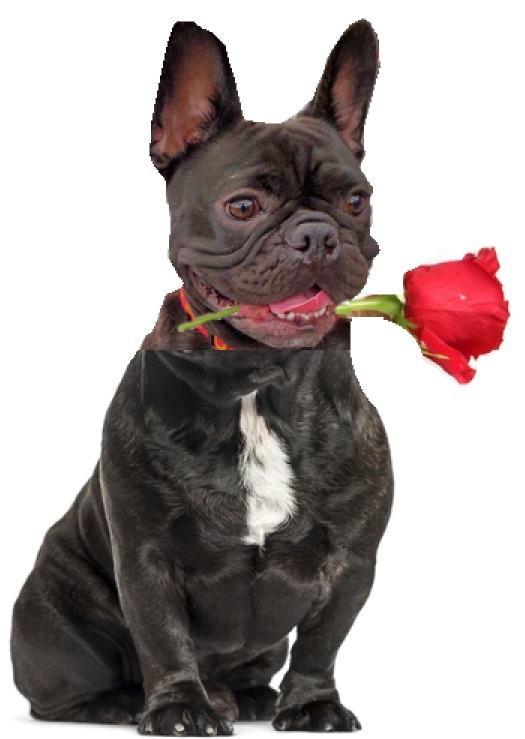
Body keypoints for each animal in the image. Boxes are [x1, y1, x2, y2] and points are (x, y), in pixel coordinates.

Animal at [11, 20, 392, 736]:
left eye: (357, 201)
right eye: (243, 206)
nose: (318, 235)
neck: (260, 382)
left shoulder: (353, 561)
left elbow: (324, 638)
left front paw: (313, 703)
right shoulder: (147, 555)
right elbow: (162, 633)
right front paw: (180, 706)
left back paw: (248, 696)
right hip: (58, 631)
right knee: (61, 691)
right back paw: (134, 702)